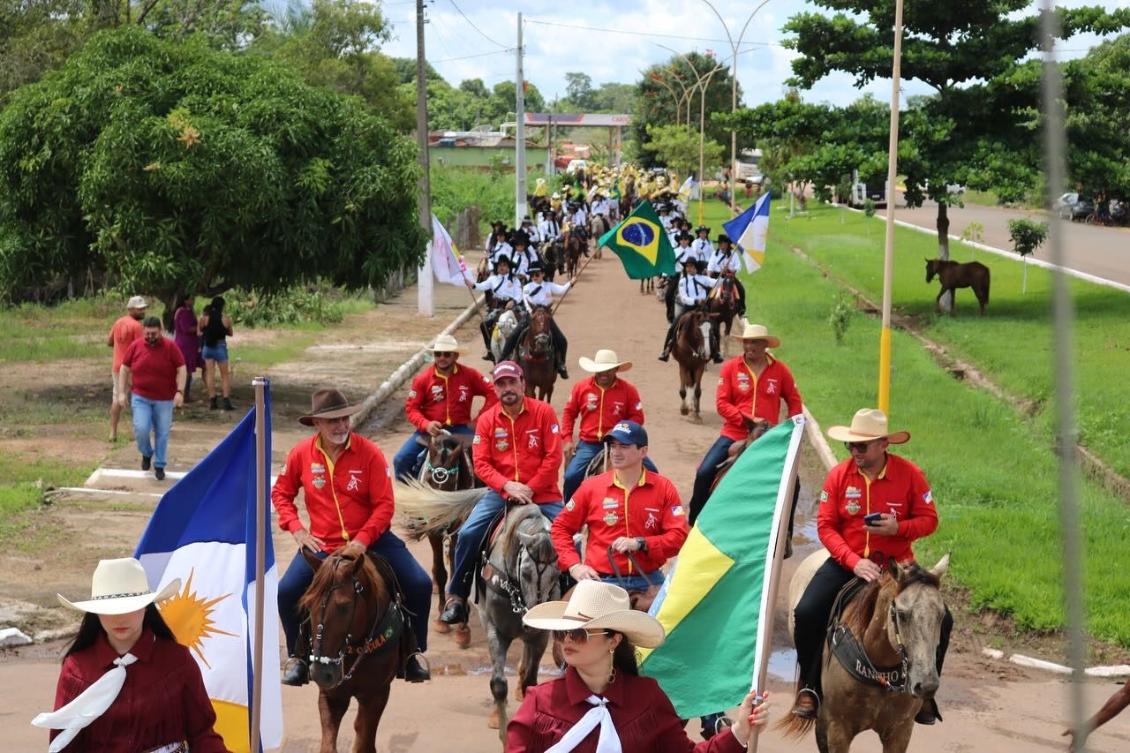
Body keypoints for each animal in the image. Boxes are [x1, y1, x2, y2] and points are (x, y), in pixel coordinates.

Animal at [300, 544, 406, 750]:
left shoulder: (377, 695)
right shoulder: (331, 697)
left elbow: (364, 742)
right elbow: (328, 745)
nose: (321, 673)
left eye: (345, 606)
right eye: (308, 604)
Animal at [781, 544, 949, 750]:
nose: (926, 685)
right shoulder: (838, 729)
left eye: (941, 615)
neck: (880, 669)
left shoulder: (901, 731)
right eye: (901, 614)